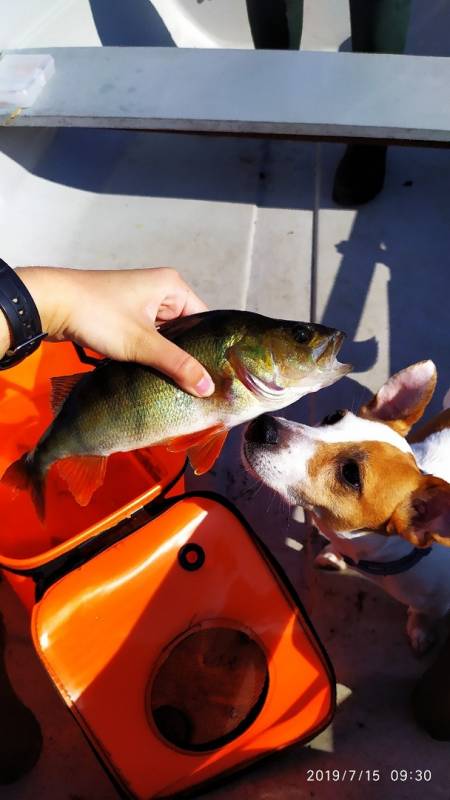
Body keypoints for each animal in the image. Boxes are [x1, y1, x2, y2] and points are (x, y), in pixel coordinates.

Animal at [243, 362, 450, 656]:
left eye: (351, 474)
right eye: (333, 417)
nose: (263, 426)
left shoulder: (435, 603)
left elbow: (424, 613)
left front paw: (420, 629)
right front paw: (332, 554)